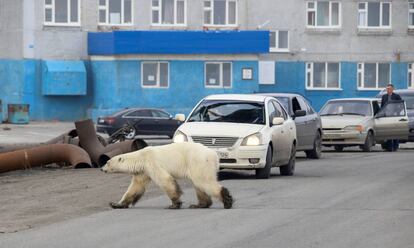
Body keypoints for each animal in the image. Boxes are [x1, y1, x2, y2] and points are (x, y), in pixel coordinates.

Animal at [101, 141, 233, 209]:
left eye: (107, 162)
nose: (102, 169)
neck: (141, 157)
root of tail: (214, 154)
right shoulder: (143, 171)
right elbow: (136, 187)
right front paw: (116, 204)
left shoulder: (152, 163)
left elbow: (165, 180)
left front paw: (175, 204)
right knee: (199, 185)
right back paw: (199, 205)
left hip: (198, 161)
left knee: (203, 181)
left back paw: (227, 200)